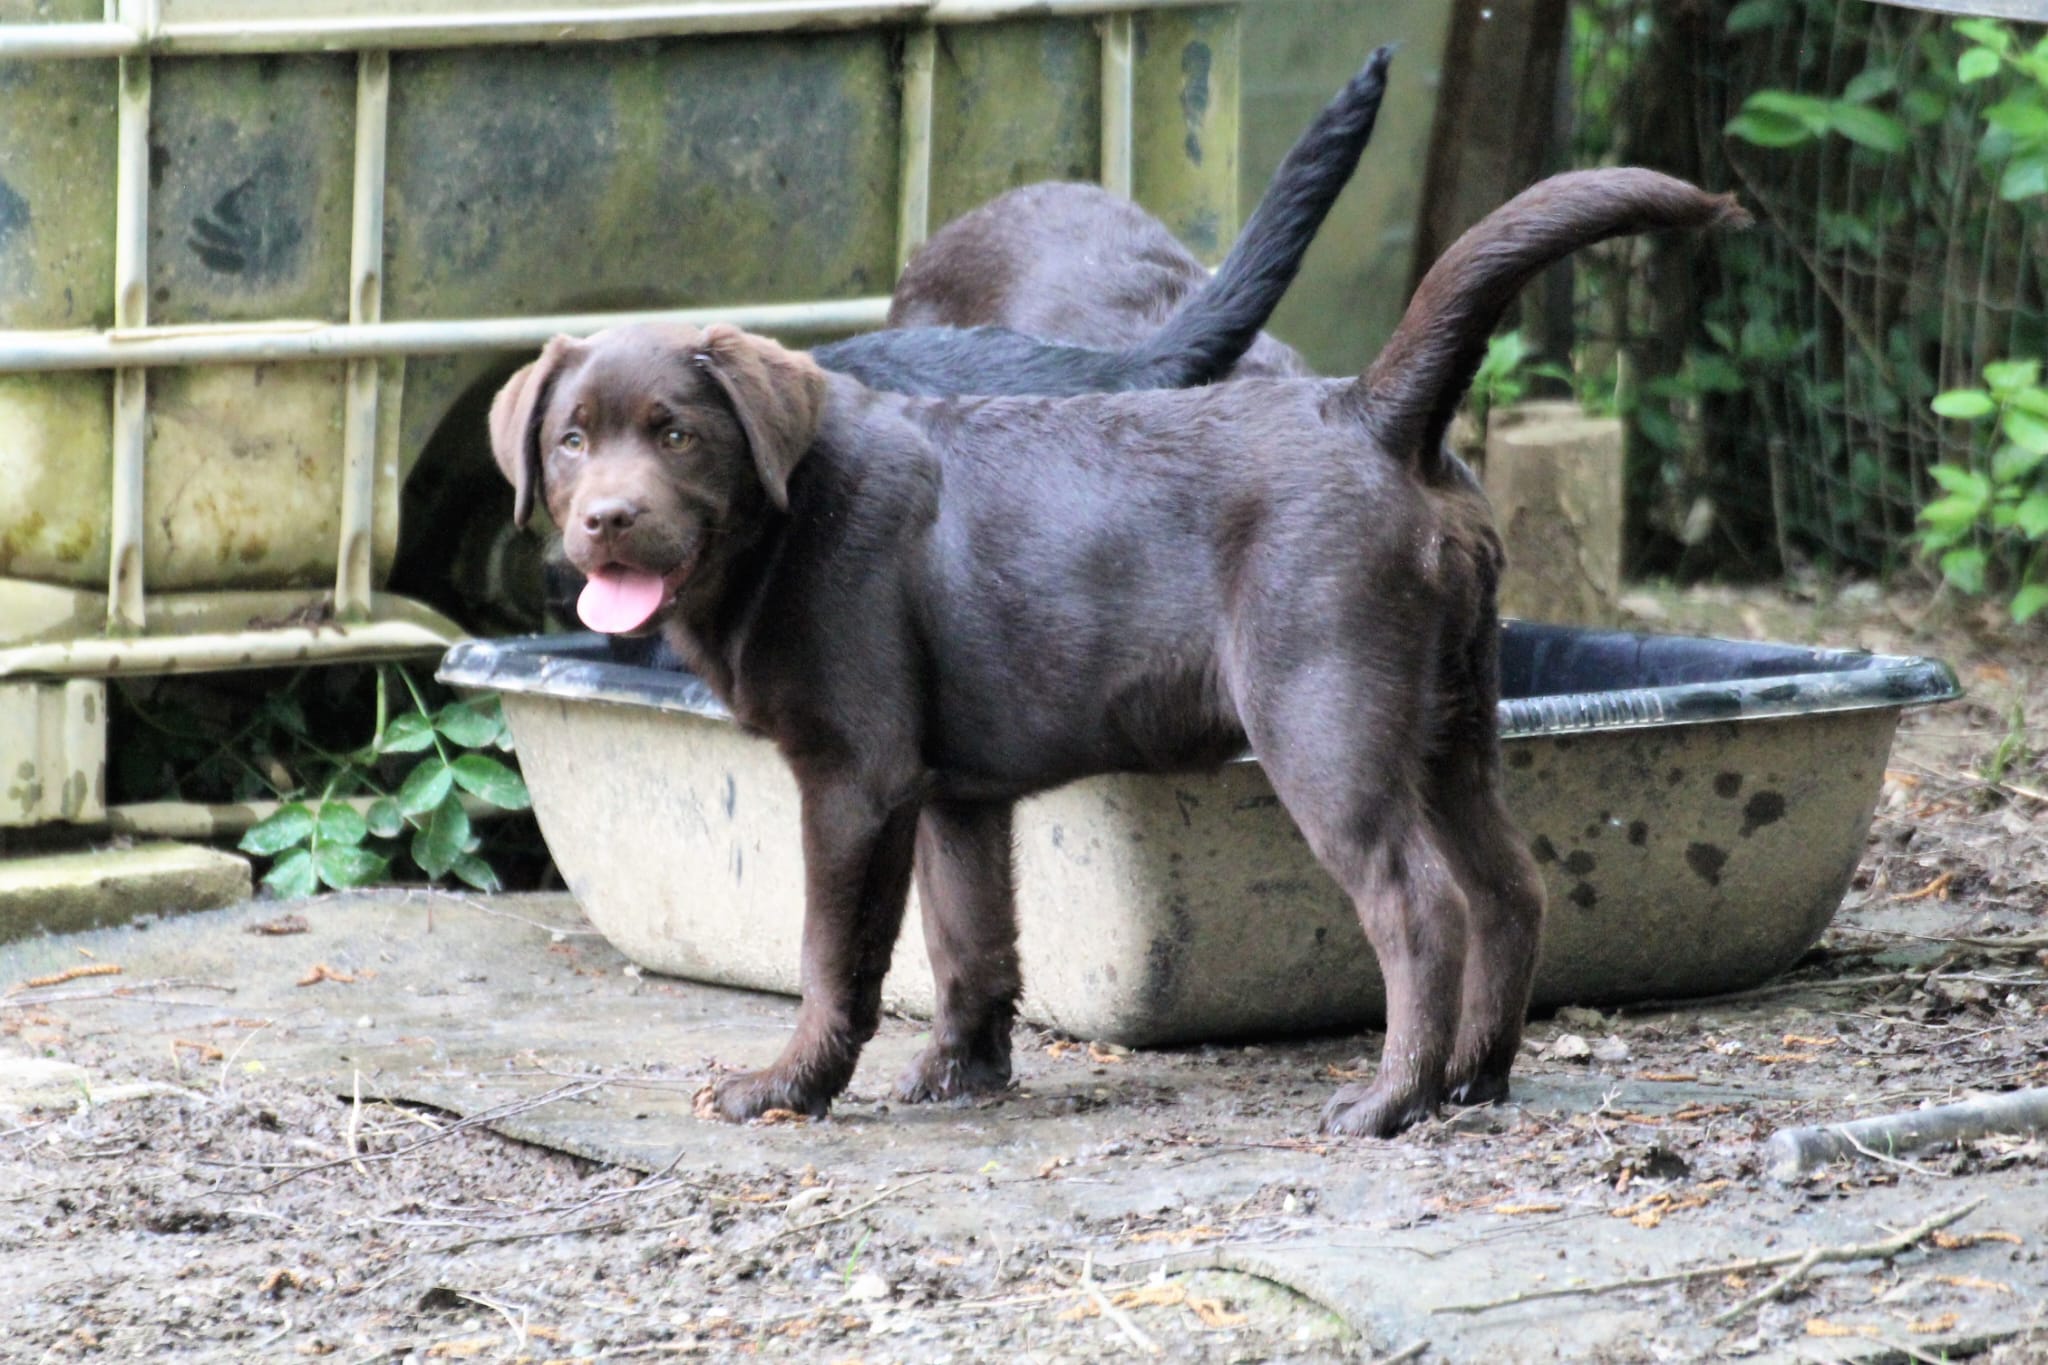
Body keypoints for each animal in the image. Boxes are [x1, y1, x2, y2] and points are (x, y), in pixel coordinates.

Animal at [491, 165, 1744, 1137]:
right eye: (569, 441)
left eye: (675, 434)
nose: (604, 519)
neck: (788, 514)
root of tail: (1371, 411)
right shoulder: (955, 794)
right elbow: (969, 942)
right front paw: (960, 1077)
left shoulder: (856, 778)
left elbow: (835, 953)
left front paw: (787, 1089)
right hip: (1452, 717)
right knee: (1508, 886)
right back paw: (1475, 1080)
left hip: (1324, 719)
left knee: (1418, 905)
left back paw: (1389, 1101)